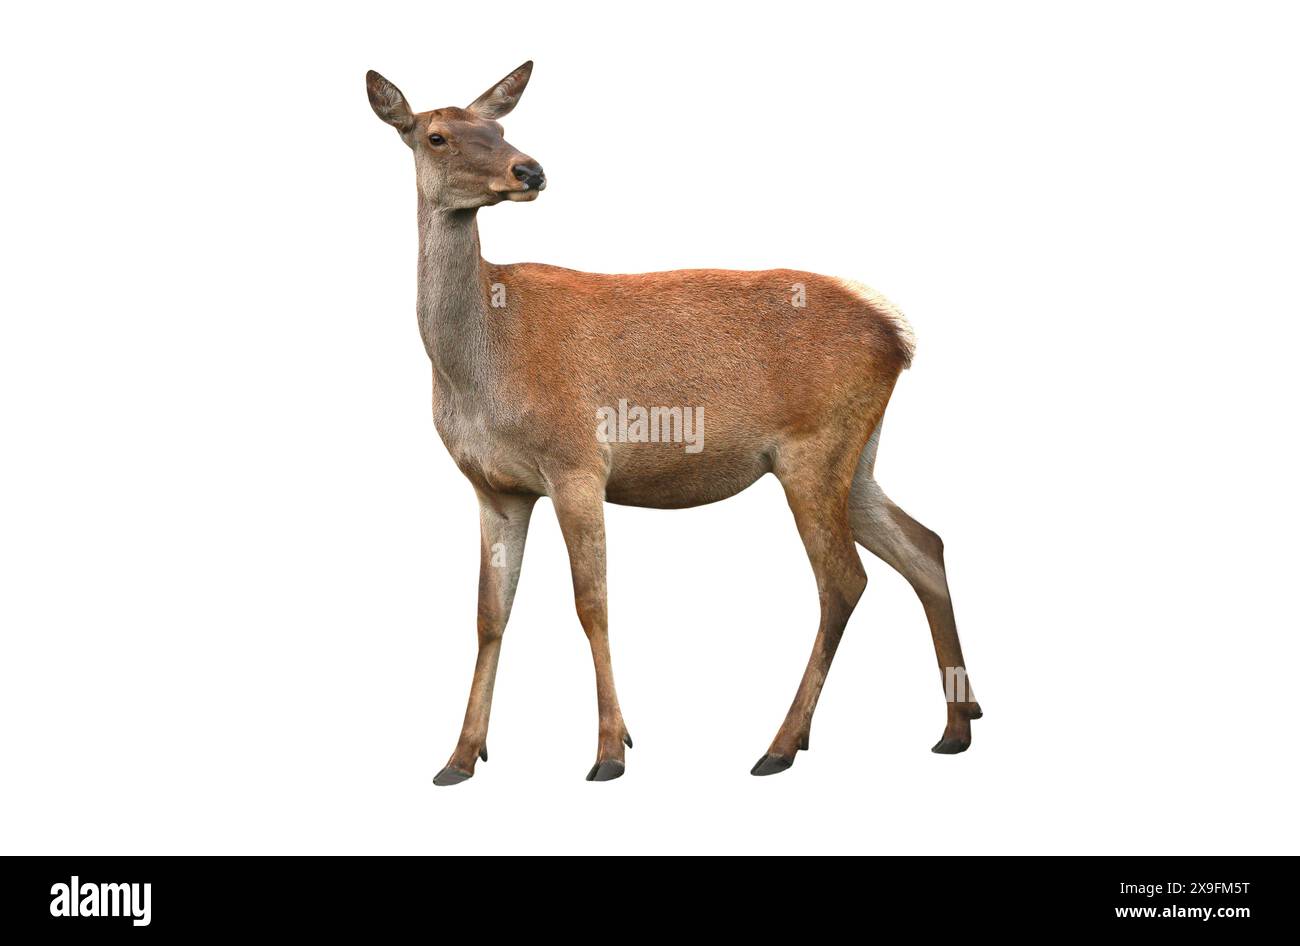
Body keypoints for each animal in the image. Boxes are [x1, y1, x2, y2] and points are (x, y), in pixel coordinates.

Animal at [366, 61, 981, 784]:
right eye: (436, 135)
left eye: (498, 127)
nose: (530, 170)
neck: (478, 368)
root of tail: (899, 337)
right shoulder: (496, 487)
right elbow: (490, 613)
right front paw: (460, 756)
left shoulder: (577, 462)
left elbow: (591, 602)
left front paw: (611, 750)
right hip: (857, 459)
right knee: (925, 545)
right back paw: (955, 727)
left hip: (814, 448)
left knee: (844, 580)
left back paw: (780, 744)